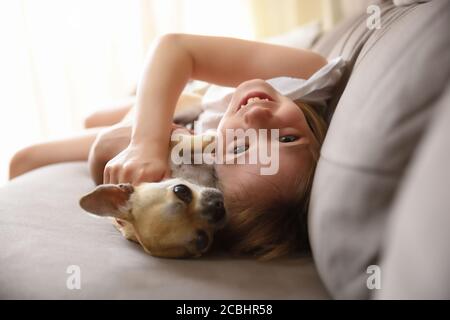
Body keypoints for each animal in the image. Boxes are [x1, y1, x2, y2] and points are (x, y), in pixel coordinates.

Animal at [78, 131, 225, 258]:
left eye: (181, 190)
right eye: (203, 241)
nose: (217, 207)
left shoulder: (173, 145)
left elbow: (185, 143)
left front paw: (209, 137)